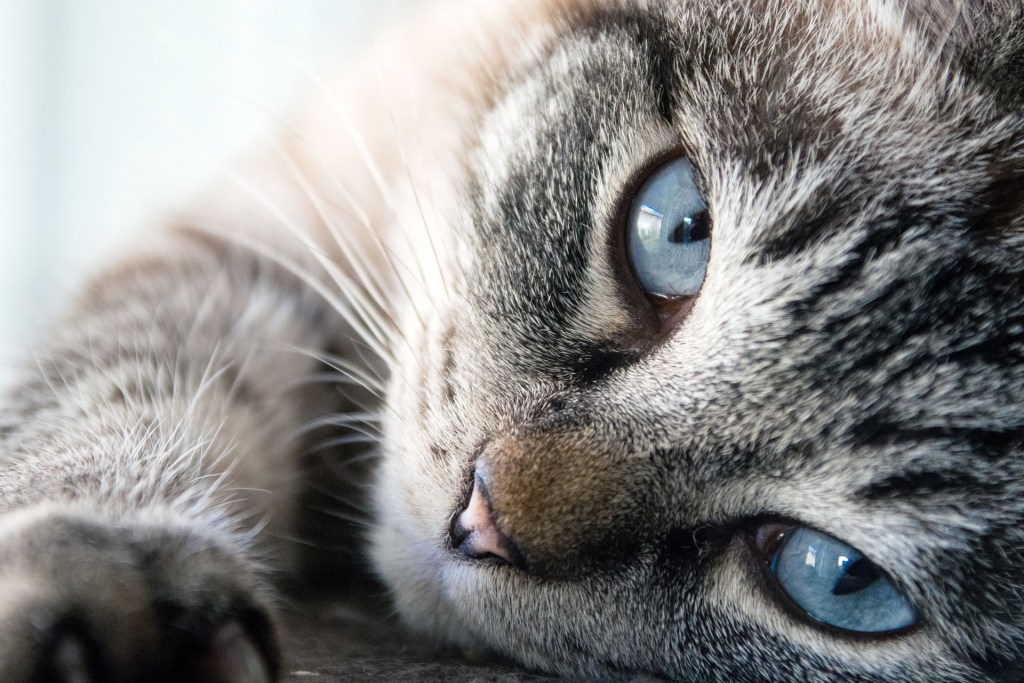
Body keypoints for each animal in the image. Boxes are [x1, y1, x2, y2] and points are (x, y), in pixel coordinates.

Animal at [2, 0, 1024, 679]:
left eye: (837, 578)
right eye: (677, 230)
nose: (481, 517)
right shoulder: (261, 252)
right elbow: (121, 402)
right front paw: (97, 591)